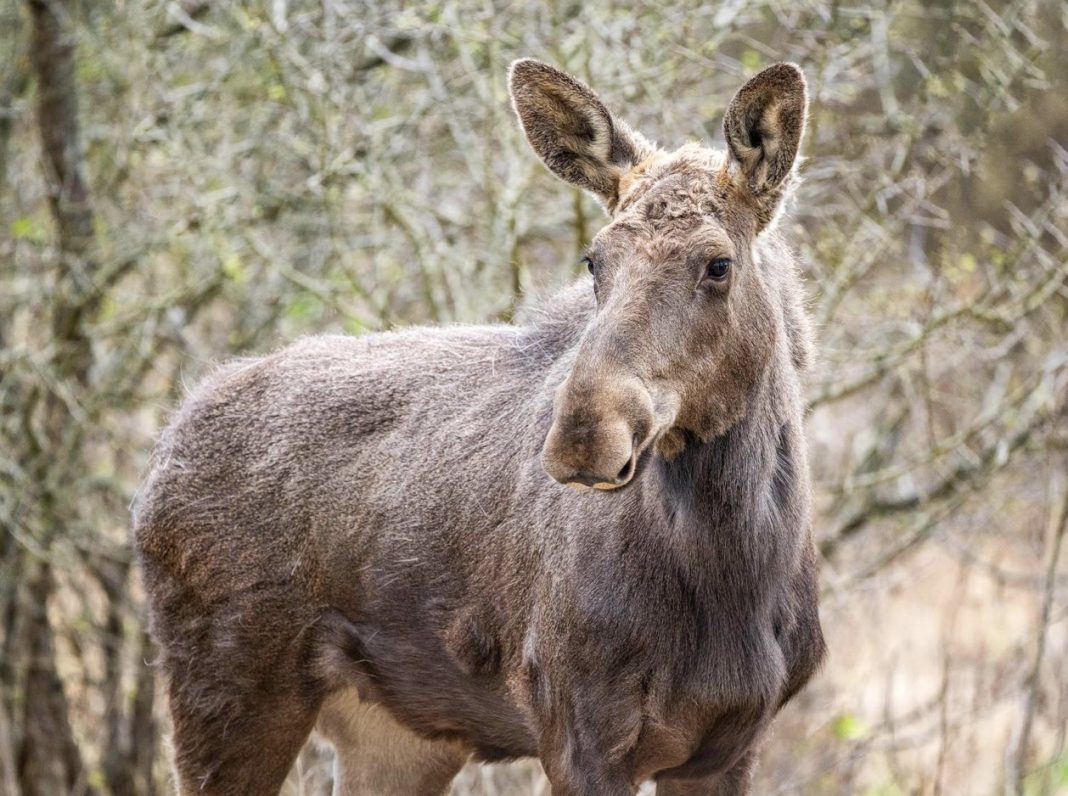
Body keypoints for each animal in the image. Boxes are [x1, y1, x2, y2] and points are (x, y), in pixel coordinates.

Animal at [132, 59, 826, 795]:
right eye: (594, 260)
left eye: (718, 264)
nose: (583, 433)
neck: (738, 569)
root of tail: (157, 464)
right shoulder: (577, 729)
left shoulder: (730, 744)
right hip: (226, 689)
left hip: (395, 735)